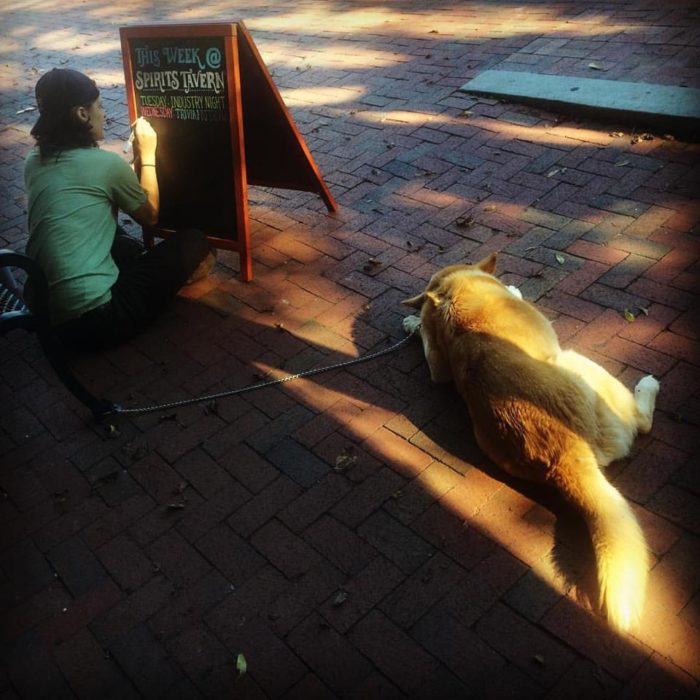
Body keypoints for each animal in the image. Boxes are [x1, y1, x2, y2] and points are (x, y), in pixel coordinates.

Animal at [402, 253, 660, 636]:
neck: (453, 292)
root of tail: (565, 457)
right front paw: (514, 288)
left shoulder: (438, 366)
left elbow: (424, 335)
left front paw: (410, 321)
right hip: (578, 361)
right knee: (643, 421)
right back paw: (648, 387)